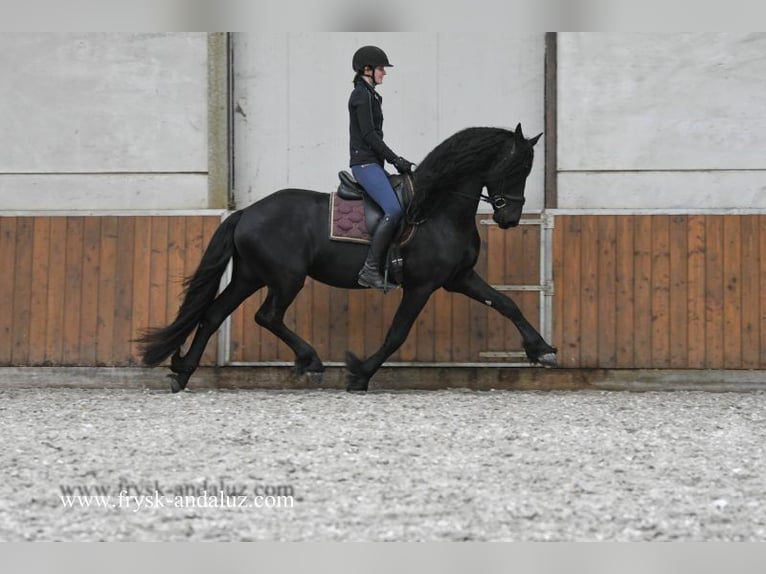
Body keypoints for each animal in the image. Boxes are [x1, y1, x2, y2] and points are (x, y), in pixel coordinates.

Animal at [138, 124, 558, 392]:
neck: (438, 208)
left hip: (249, 275)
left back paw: (182, 374)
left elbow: (506, 304)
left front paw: (543, 351)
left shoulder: (459, 278)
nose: (510, 218)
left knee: (212, 315)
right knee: (267, 316)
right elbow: (397, 333)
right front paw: (360, 374)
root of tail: (247, 212)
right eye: (515, 167)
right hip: (286, 278)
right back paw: (311, 361)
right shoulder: (422, 285)